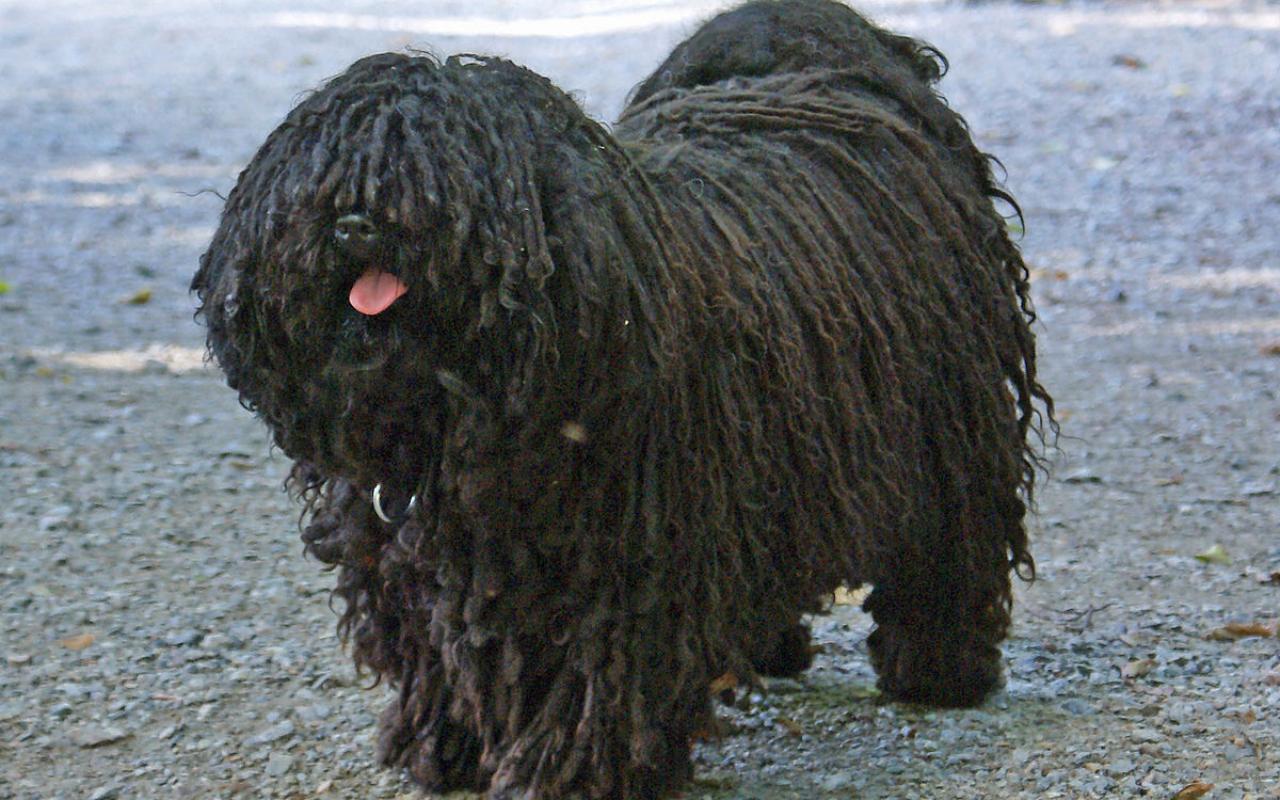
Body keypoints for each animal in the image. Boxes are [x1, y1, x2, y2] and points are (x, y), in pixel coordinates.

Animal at [189, 3, 1049, 793]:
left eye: (440, 179)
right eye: (322, 175)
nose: (355, 223)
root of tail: (847, 70)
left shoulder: (625, 567)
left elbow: (598, 682)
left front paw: (577, 773)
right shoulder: (405, 556)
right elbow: (436, 653)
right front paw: (447, 747)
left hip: (948, 427)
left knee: (950, 548)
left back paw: (939, 669)